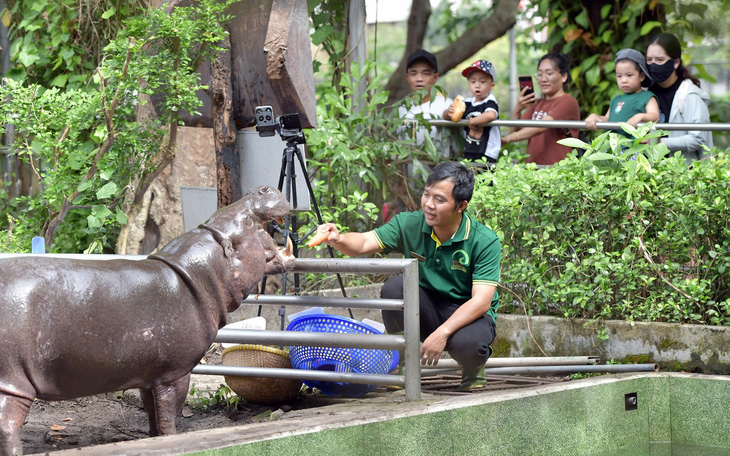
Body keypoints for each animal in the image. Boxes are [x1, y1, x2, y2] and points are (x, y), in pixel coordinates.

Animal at [1, 184, 296, 452]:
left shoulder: (148, 374)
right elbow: (169, 416)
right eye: (247, 223)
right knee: (8, 427)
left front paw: (152, 439)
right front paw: (170, 440)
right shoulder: (175, 374)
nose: (262, 188)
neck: (200, 272)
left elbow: (152, 414)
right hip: (12, 382)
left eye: (219, 212)